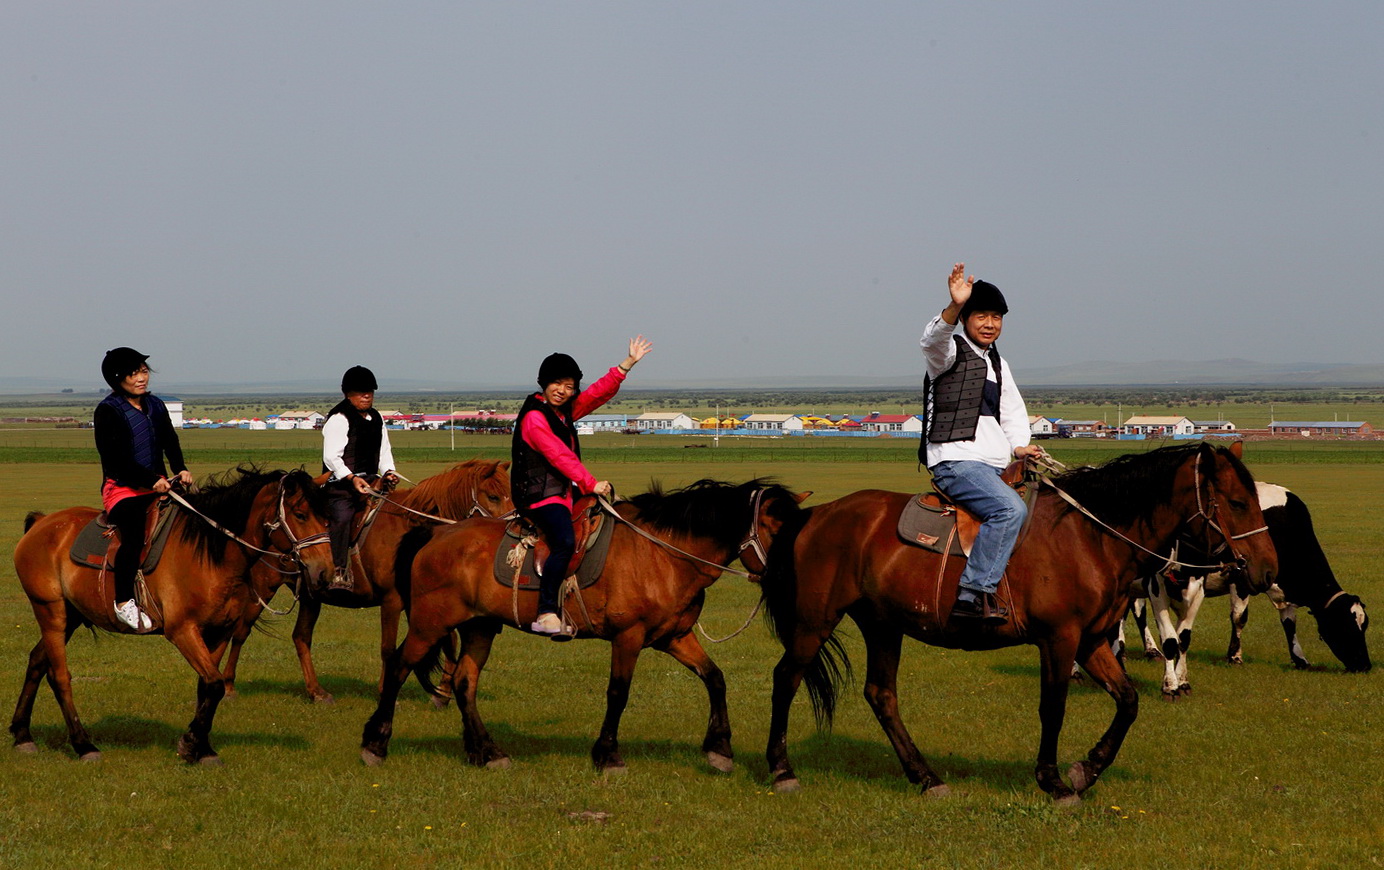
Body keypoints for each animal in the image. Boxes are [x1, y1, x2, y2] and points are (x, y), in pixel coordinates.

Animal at [10, 467, 332, 757]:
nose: (325, 573)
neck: (210, 553)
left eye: (326, 517)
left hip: (71, 616)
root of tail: (42, 523)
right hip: (50, 611)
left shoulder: (218, 631)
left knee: (37, 661)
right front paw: (194, 745)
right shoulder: (182, 631)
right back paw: (83, 744)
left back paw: (22, 734)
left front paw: (198, 744)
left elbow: (207, 686)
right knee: (59, 675)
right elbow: (214, 684)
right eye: (300, 514)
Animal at [221, 459, 514, 702]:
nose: (514, 526)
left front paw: (442, 693)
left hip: (310, 597)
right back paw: (228, 686)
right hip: (263, 588)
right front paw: (387, 691)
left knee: (300, 637)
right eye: (493, 496)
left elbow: (448, 639)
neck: (408, 529)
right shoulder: (392, 600)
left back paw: (317, 692)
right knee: (241, 630)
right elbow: (388, 648)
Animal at [359, 481, 808, 774]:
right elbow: (618, 694)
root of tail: (435, 533)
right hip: (430, 624)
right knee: (398, 666)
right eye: (775, 528)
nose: (791, 575)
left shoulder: (673, 637)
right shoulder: (628, 638)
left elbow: (715, 678)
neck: (662, 552)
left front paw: (720, 748)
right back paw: (375, 742)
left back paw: (485, 751)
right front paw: (608, 755)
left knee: (464, 681)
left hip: (479, 627)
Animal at [763, 439, 1278, 802]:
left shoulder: (1091, 641)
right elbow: (1054, 708)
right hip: (815, 622)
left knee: (881, 696)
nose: (1268, 570)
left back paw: (926, 777)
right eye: (1236, 502)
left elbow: (1128, 701)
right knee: (786, 678)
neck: (1089, 536)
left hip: (883, 626)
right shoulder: (1059, 639)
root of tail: (816, 515)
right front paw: (1054, 781)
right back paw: (782, 770)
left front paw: (1086, 769)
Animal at [1129, 478, 1367, 694]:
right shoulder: (1239, 577)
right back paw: (1149, 651)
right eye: (1346, 625)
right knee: (1138, 613)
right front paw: (1234, 656)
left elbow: (1289, 622)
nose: (1365, 665)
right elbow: (1239, 617)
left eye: (1364, 625)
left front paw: (1300, 659)